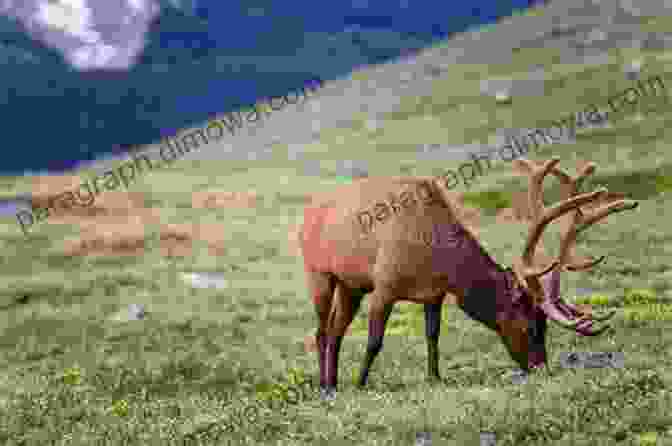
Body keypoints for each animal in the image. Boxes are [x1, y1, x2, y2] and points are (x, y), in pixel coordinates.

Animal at [302, 158, 636, 398]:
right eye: (530, 326)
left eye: (544, 327)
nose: (541, 367)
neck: (437, 257)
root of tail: (305, 214)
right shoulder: (385, 284)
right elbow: (374, 341)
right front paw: (360, 383)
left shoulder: (433, 293)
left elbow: (433, 335)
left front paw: (434, 377)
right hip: (318, 274)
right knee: (321, 331)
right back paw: (324, 385)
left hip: (351, 286)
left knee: (336, 330)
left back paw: (333, 382)